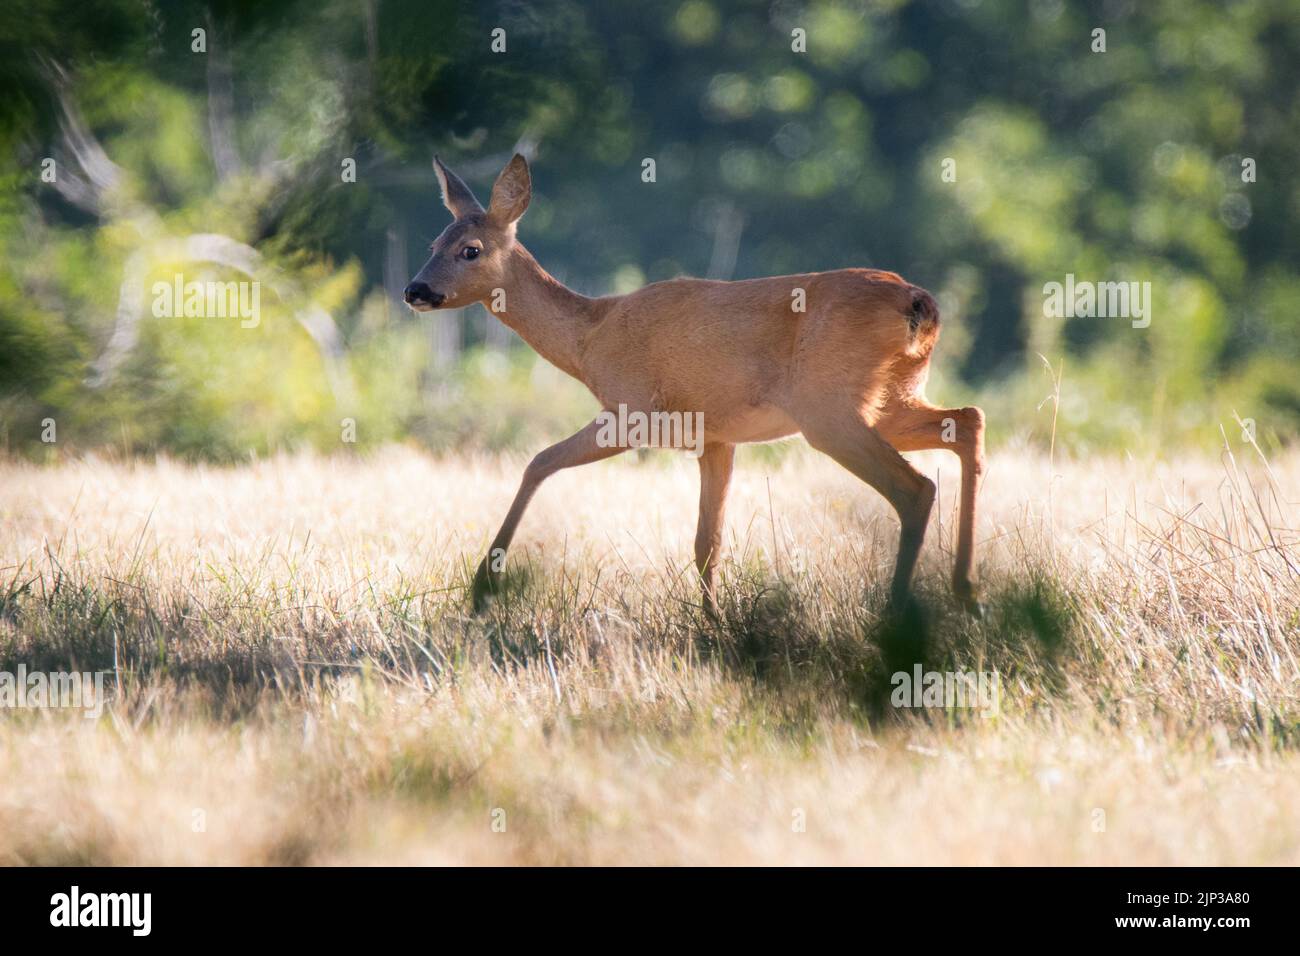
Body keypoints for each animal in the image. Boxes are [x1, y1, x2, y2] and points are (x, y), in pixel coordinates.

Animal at [405, 155, 982, 621]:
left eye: (470, 250)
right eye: (433, 243)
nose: (415, 289)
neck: (590, 338)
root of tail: (920, 304)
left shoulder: (632, 412)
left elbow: (537, 461)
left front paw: (482, 586)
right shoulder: (715, 438)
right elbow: (709, 540)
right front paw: (713, 621)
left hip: (829, 411)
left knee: (916, 488)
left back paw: (899, 611)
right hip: (886, 399)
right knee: (966, 422)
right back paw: (965, 593)